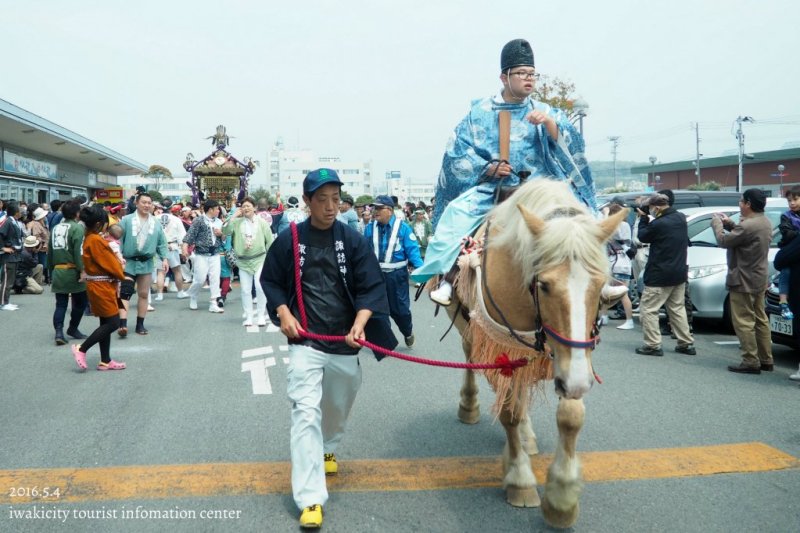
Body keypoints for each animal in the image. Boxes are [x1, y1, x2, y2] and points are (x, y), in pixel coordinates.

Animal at [444, 179, 624, 528]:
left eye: (599, 286)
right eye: (545, 285)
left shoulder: (571, 357)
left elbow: (570, 416)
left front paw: (563, 498)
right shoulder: (504, 346)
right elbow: (509, 412)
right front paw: (520, 480)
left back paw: (527, 437)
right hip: (469, 328)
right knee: (471, 361)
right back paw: (469, 406)